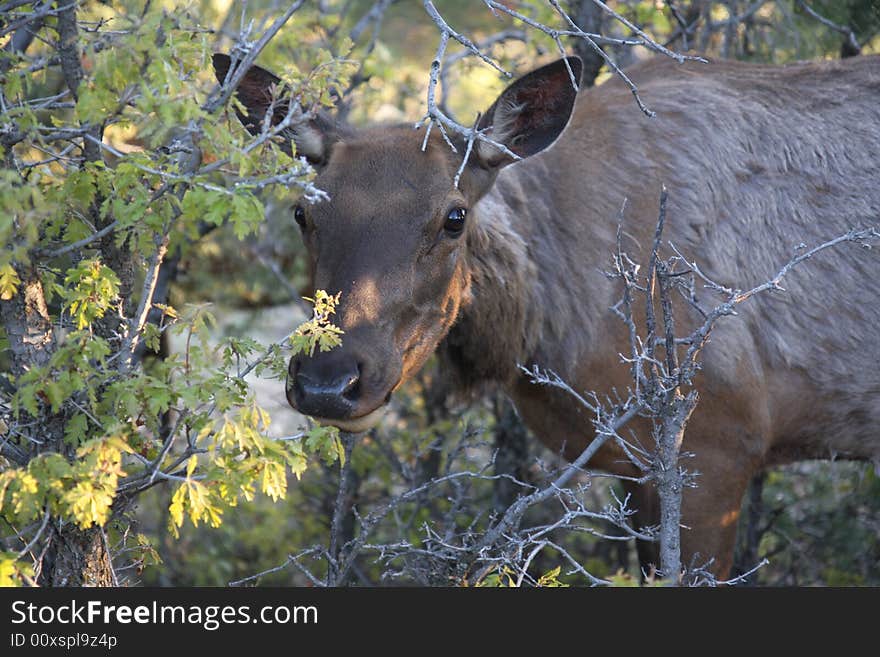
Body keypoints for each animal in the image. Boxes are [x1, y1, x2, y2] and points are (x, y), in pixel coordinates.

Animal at [213, 51, 880, 576]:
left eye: (453, 217)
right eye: (303, 213)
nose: (328, 381)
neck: (548, 322)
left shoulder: (718, 442)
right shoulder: (642, 470)